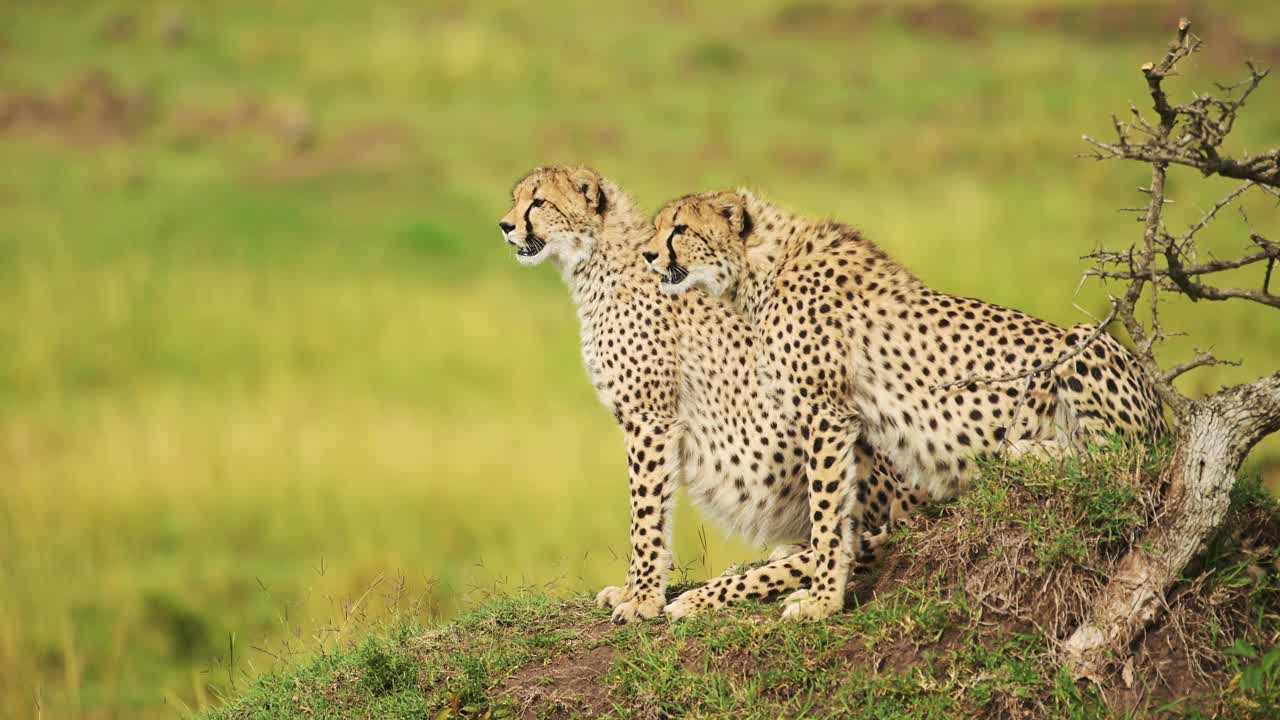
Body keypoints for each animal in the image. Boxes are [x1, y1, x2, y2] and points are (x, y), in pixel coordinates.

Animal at [496, 167, 921, 622]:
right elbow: (652, 510)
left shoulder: (651, 419)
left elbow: (644, 514)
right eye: (517, 199)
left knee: (845, 537)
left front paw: (643, 599)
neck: (596, 263)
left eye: (539, 202)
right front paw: (632, 590)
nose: (505, 225)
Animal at [645, 189, 1167, 617]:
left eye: (680, 228)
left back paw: (1025, 450)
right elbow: (841, 518)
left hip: (1080, 342)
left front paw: (820, 603)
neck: (759, 270)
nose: (649, 254)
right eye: (660, 225)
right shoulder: (854, 427)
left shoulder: (825, 415)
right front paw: (823, 585)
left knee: (1123, 455)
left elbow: (827, 515)